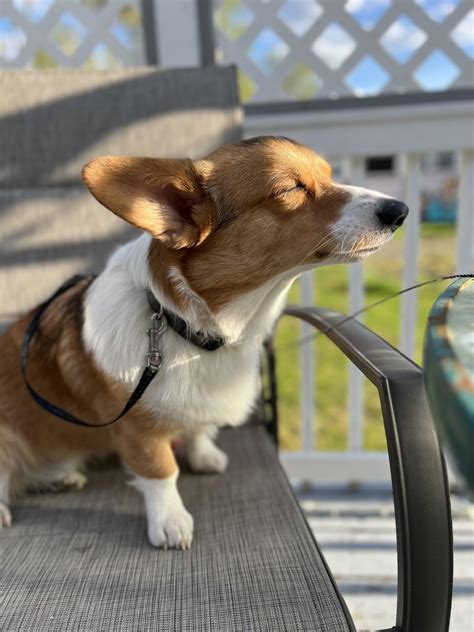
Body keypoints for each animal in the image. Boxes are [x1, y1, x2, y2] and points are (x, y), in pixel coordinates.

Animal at [0, 137, 408, 548]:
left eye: (329, 174)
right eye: (290, 189)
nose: (400, 210)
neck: (186, 326)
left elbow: (197, 430)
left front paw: (204, 456)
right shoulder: (137, 429)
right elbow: (161, 473)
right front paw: (170, 521)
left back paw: (58, 477)